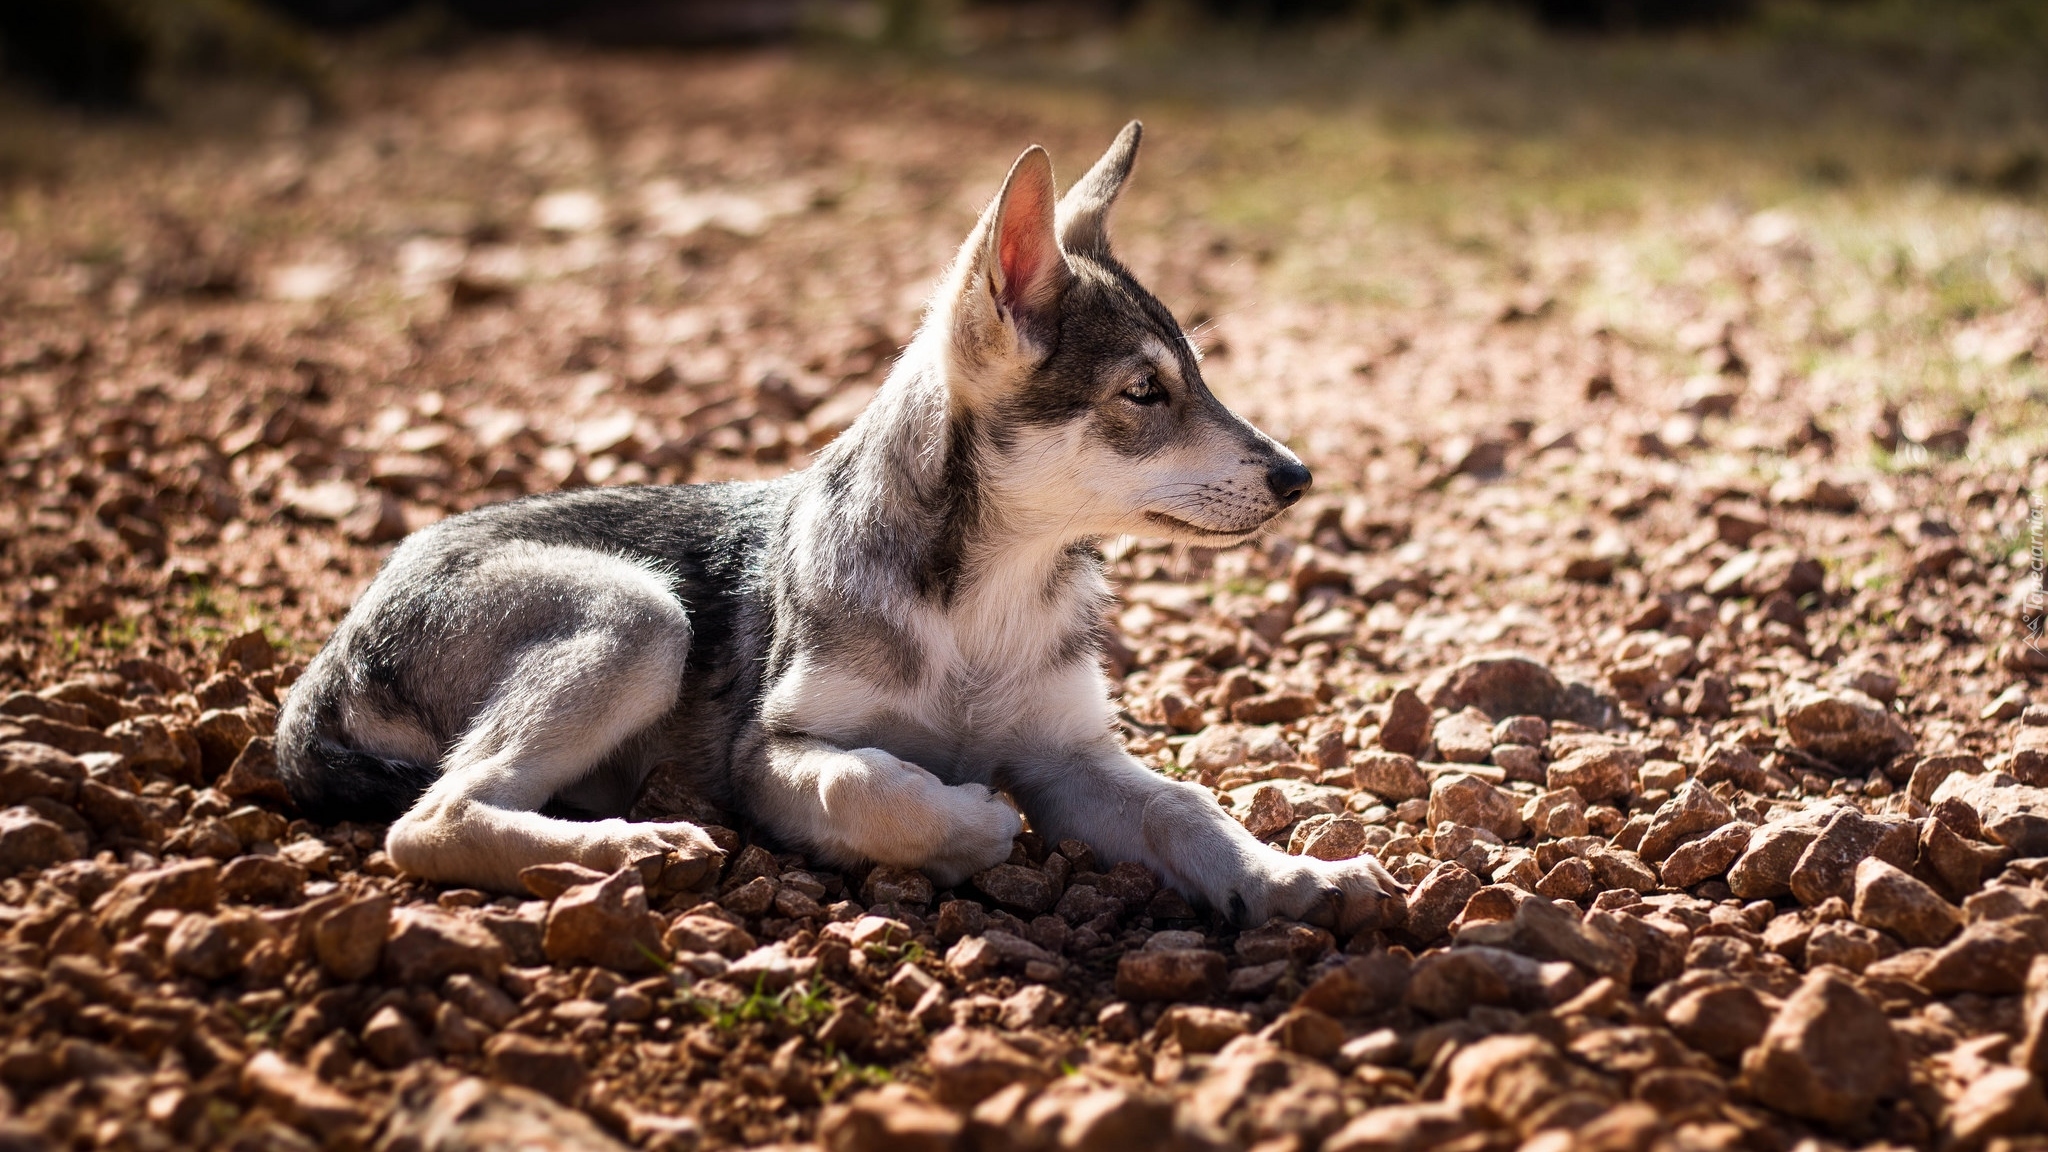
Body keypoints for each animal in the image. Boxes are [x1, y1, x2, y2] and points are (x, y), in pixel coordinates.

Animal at [280, 125, 1400, 926]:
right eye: (1144, 392)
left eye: (1197, 380)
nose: (1297, 476)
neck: (983, 603)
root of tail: (328, 662)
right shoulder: (771, 755)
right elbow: (871, 785)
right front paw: (964, 823)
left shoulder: (1070, 757)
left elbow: (1186, 807)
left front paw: (1291, 876)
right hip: (638, 615)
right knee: (430, 822)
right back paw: (630, 845)